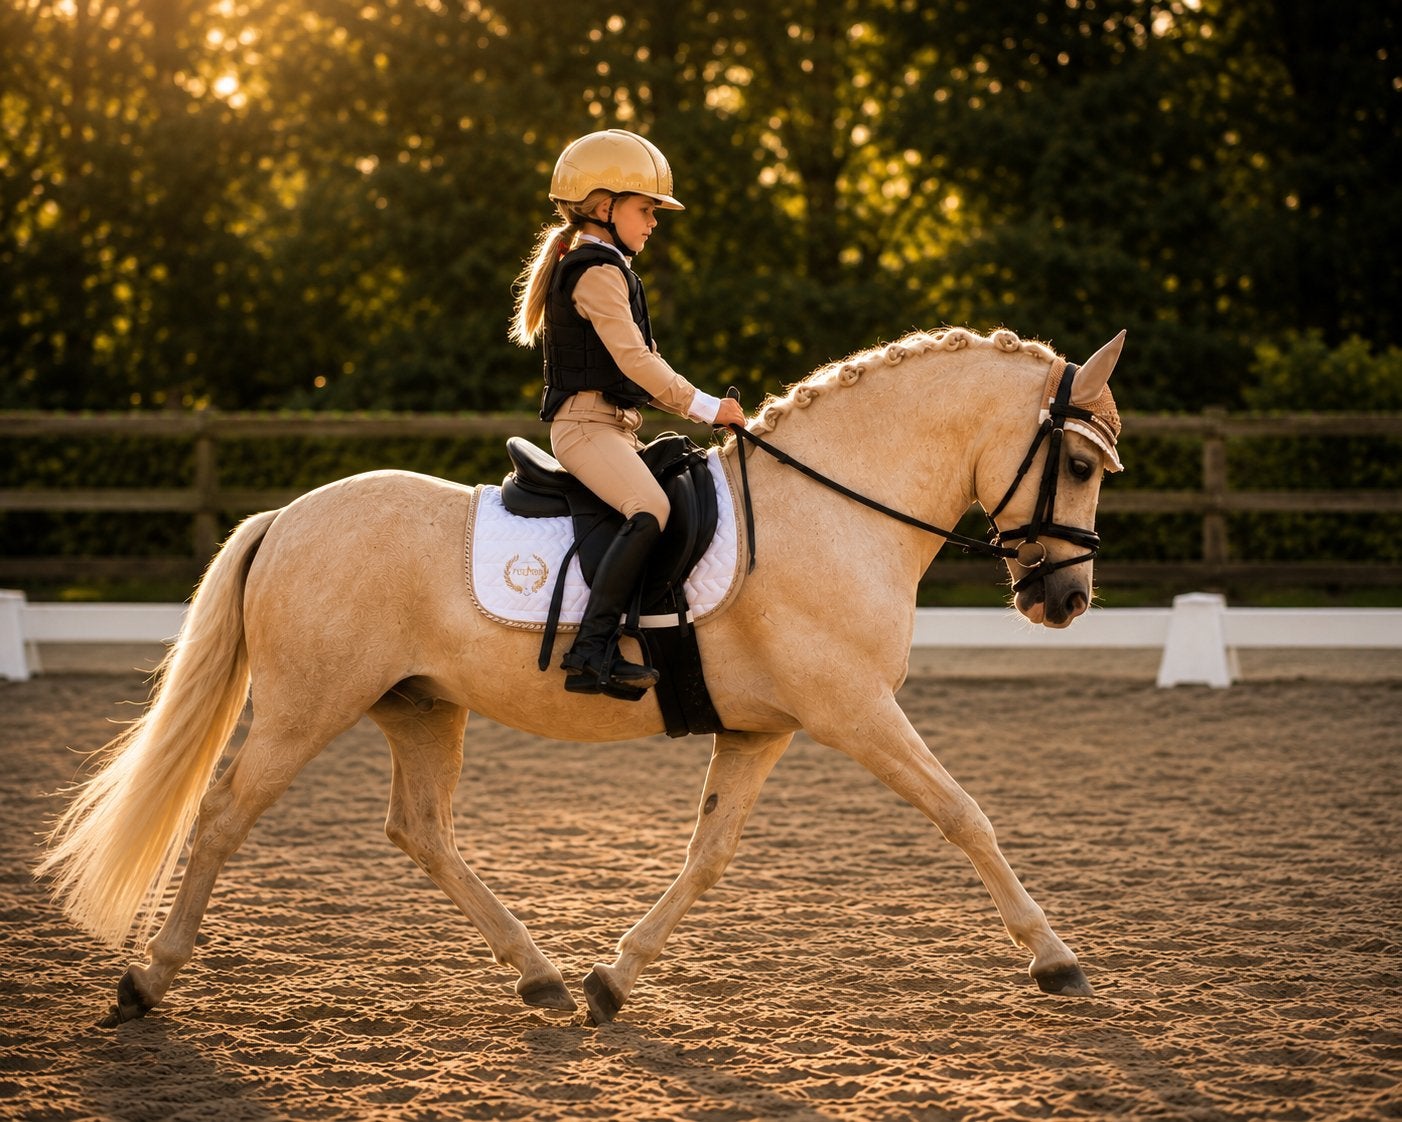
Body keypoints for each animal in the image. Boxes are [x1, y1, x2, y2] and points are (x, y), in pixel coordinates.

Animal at [36, 325, 1125, 1028]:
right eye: (1077, 463)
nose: (1066, 600)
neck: (832, 512)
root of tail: (286, 516)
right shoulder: (856, 711)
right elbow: (963, 815)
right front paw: (1055, 959)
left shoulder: (764, 729)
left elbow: (708, 857)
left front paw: (613, 979)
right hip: (308, 708)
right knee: (225, 814)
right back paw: (146, 983)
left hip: (419, 708)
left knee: (421, 832)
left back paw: (543, 979)